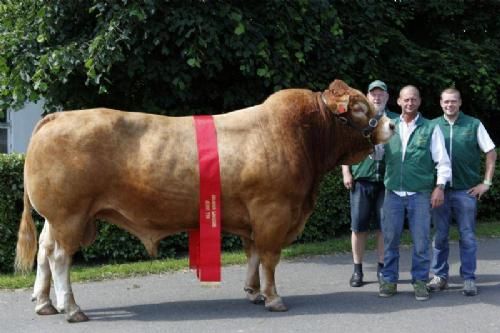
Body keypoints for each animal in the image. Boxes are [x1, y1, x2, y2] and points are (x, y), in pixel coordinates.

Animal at [14, 79, 394, 320]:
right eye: (360, 108)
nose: (390, 125)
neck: (302, 135)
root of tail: (58, 116)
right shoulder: (273, 212)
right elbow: (270, 258)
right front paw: (273, 298)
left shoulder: (253, 218)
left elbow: (254, 255)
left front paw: (253, 292)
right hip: (70, 215)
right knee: (60, 258)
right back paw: (72, 309)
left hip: (57, 219)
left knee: (45, 253)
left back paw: (45, 304)